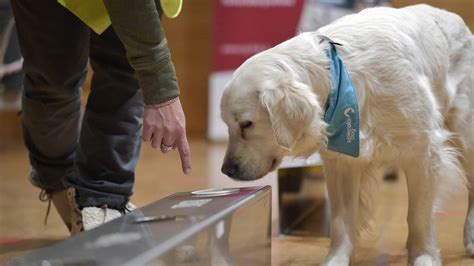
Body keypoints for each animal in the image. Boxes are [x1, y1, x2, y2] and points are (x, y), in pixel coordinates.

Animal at [220, 4, 472, 266]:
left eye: (246, 124)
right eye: (227, 124)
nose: (226, 170)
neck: (341, 76)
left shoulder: (423, 153)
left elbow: (418, 216)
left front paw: (424, 255)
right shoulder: (342, 162)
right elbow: (341, 222)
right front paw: (336, 258)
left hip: (466, 135)